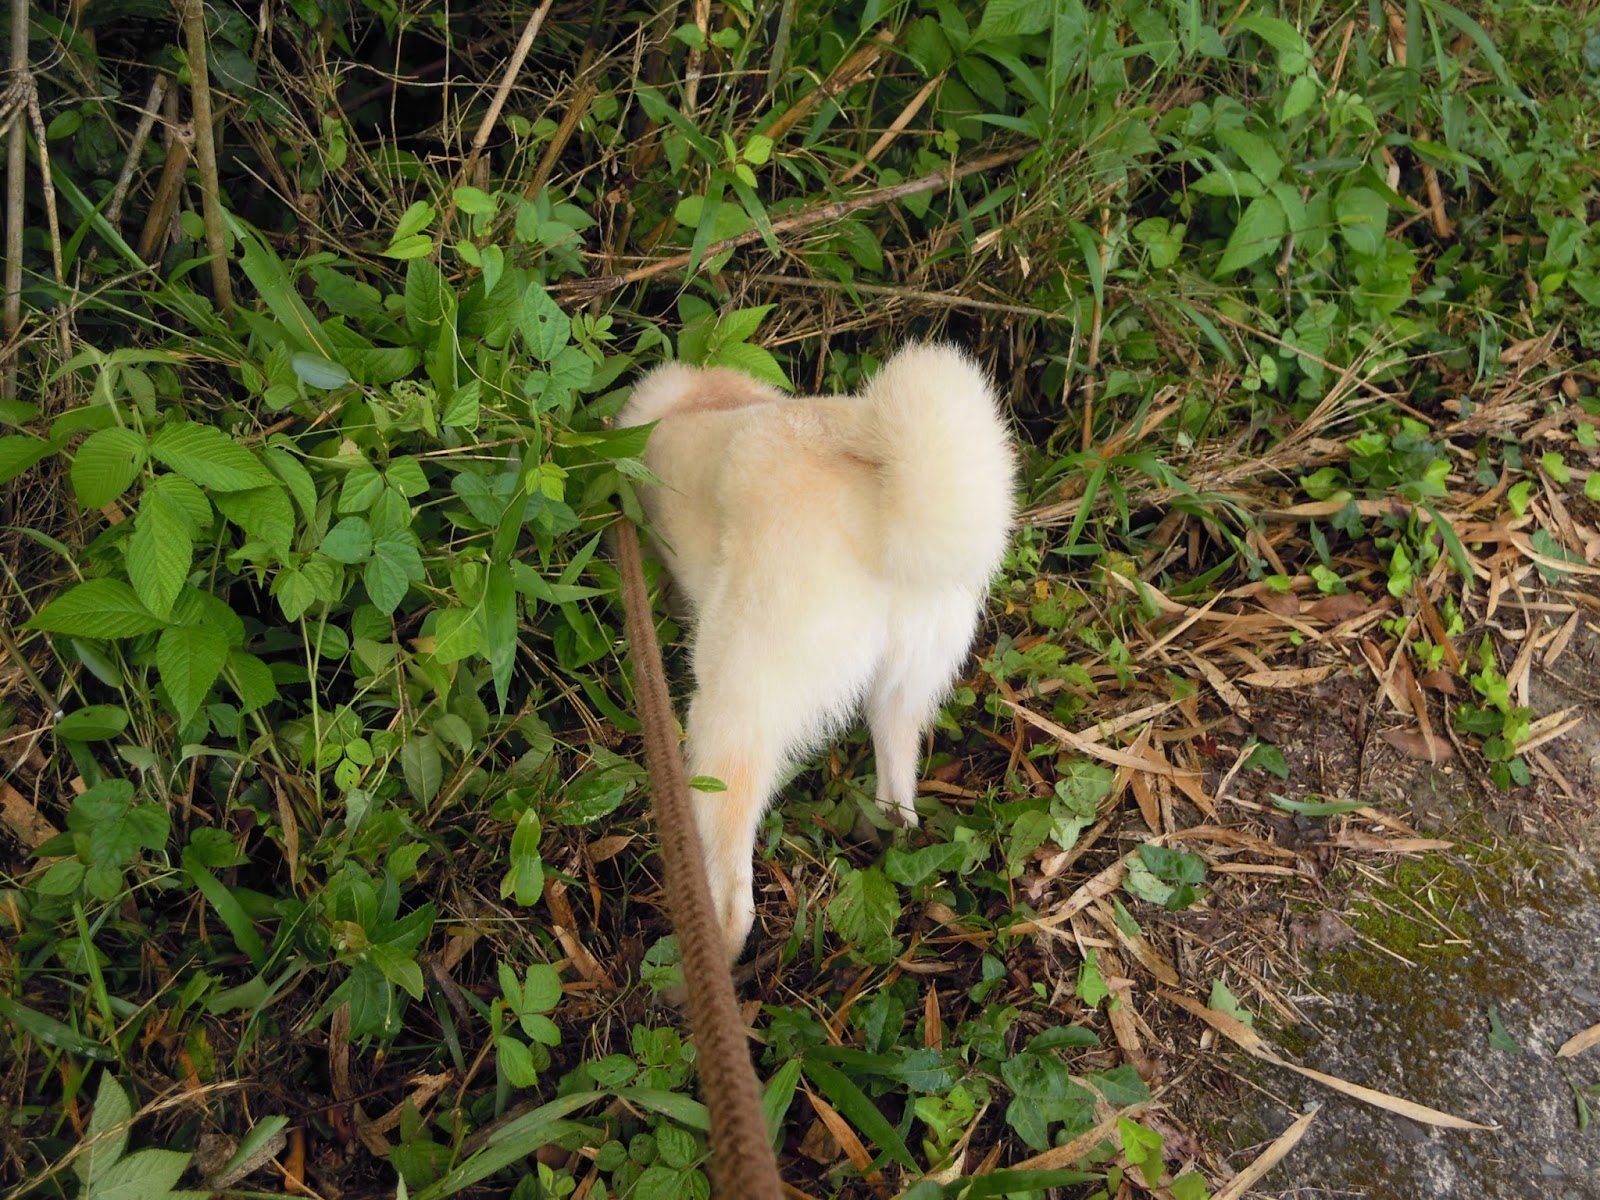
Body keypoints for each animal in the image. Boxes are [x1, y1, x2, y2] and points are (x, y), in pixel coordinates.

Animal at [618, 342, 1017, 960]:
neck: (703, 401)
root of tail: (882, 513)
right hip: (905, 690)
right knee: (897, 800)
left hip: (735, 707)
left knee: (731, 890)